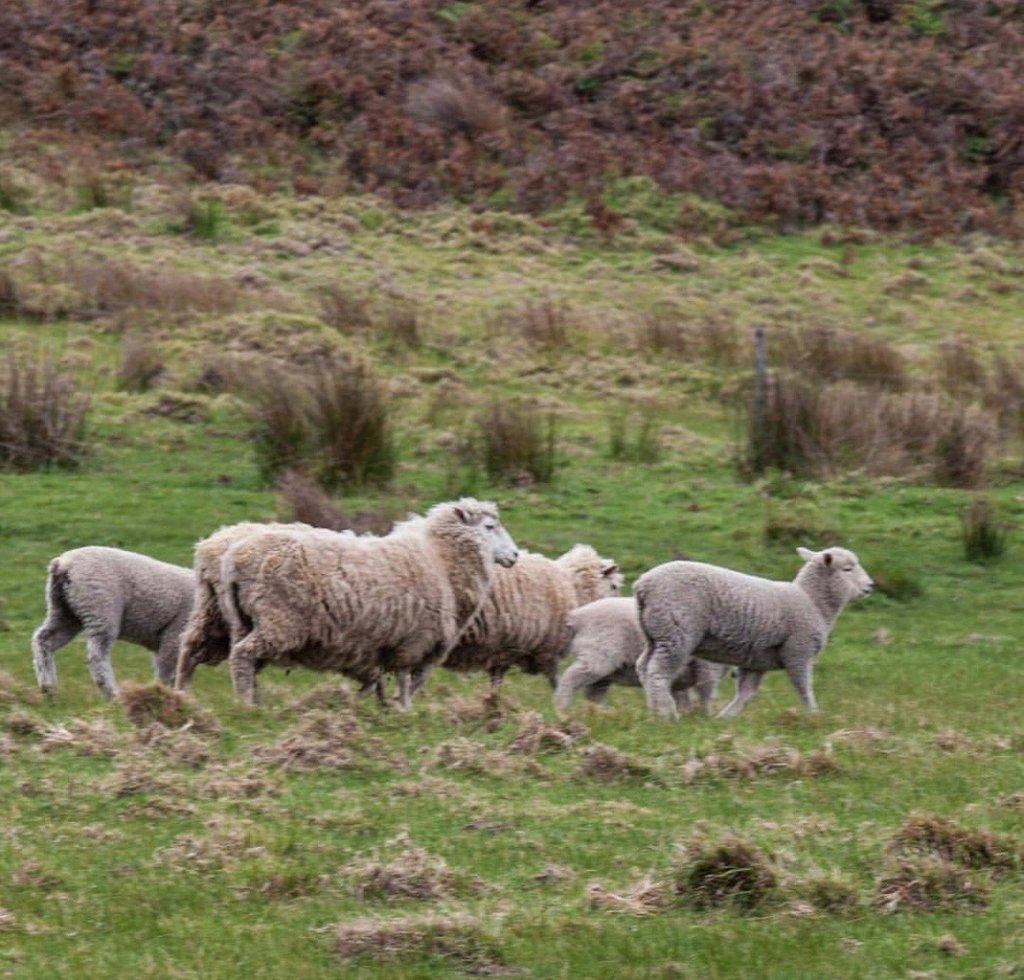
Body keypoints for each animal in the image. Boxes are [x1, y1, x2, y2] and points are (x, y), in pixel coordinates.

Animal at [31, 546, 194, 700]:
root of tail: (63, 564)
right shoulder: (176, 634)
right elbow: (169, 672)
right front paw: (166, 696)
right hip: (101, 607)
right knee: (97, 655)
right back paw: (113, 697)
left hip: (64, 609)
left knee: (44, 640)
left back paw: (48, 689)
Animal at [218, 498, 519, 707]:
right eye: (489, 527)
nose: (515, 555)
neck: (440, 559)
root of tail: (236, 558)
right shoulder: (414, 639)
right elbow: (405, 680)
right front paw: (403, 710)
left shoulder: (386, 644)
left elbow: (381, 680)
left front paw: (376, 706)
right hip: (279, 620)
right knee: (243, 656)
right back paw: (246, 706)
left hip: (245, 621)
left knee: (246, 663)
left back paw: (253, 700)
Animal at [429, 545, 623, 692]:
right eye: (614, 586)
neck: (573, 587)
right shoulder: (548, 649)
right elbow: (556, 680)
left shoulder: (504, 647)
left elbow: (496, 678)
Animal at [553, 597, 728, 713]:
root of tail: (578, 617)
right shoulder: (707, 666)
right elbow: (707, 690)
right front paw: (706, 717)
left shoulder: (679, 678)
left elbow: (680, 697)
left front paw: (684, 714)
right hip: (599, 655)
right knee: (570, 678)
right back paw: (562, 707)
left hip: (604, 670)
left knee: (593, 694)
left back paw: (600, 713)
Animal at [633, 547, 873, 720]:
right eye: (848, 569)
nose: (870, 586)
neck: (812, 601)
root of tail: (643, 585)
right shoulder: (798, 651)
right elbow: (804, 687)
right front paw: (814, 715)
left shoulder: (757, 660)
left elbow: (746, 694)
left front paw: (726, 718)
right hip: (676, 632)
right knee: (658, 672)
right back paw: (666, 713)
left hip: (655, 633)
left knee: (643, 667)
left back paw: (653, 710)